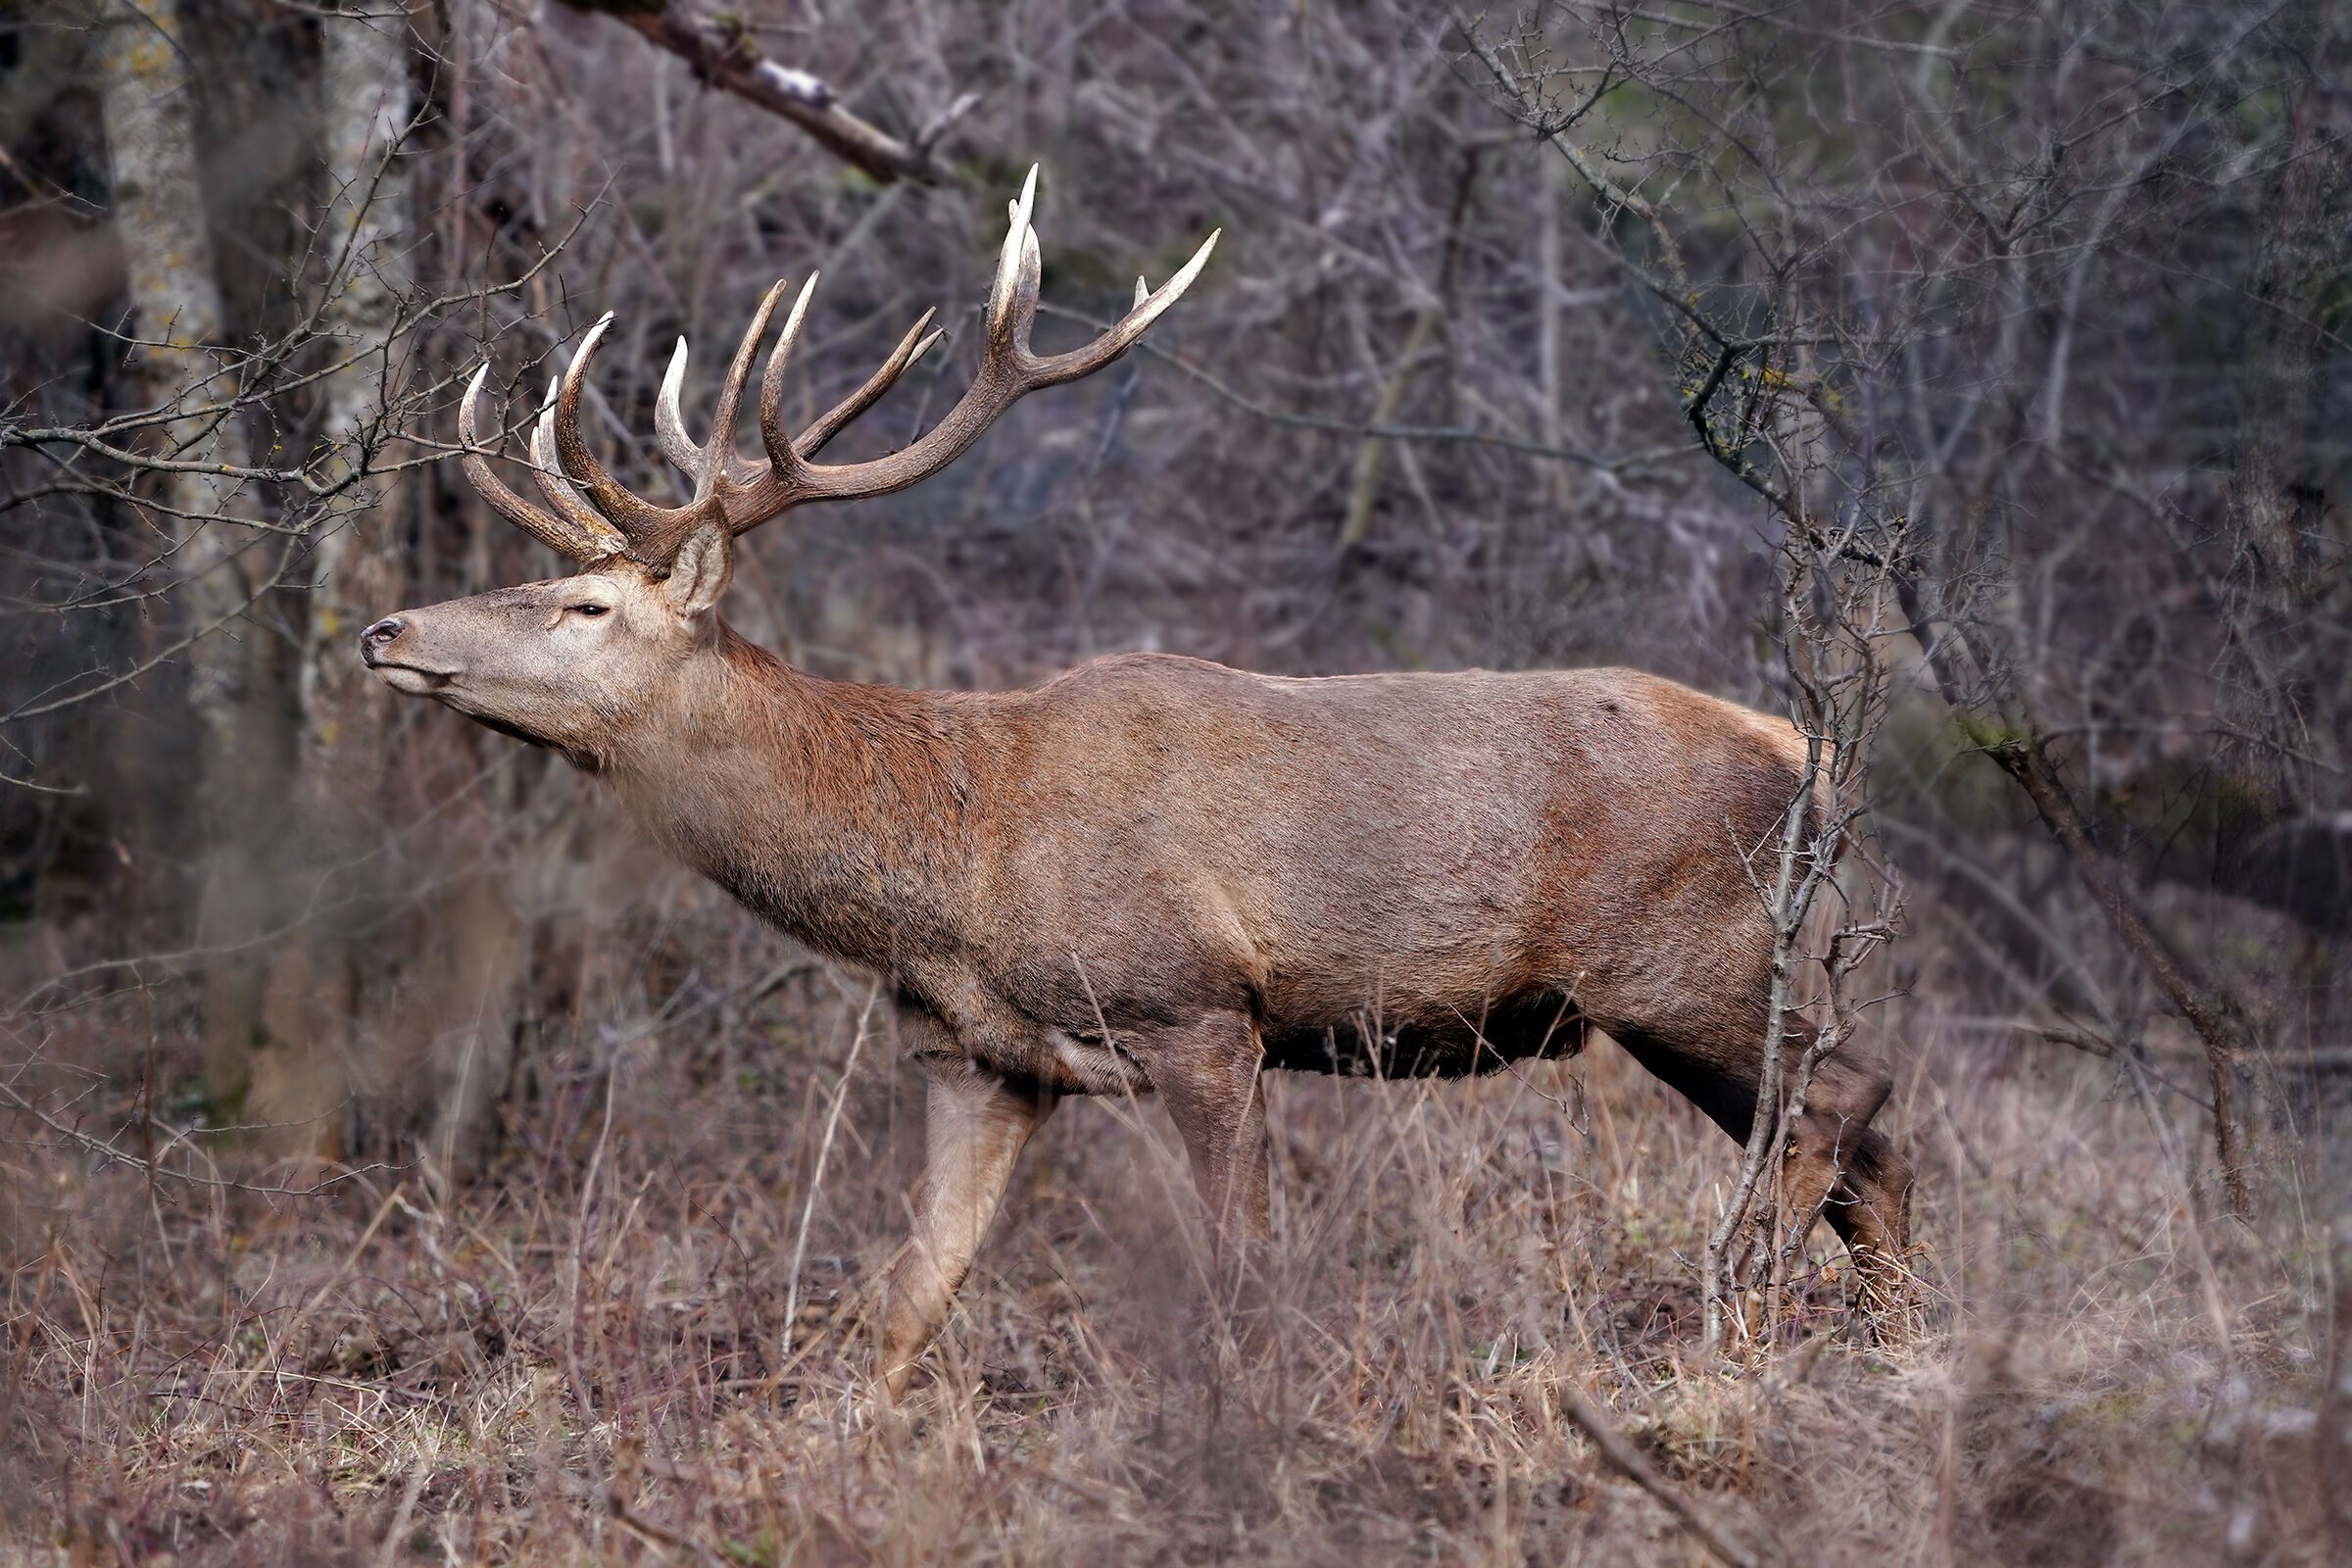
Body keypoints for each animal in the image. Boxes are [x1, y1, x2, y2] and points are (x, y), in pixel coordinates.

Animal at [361, 170, 1912, 1400]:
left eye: (586, 607)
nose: (385, 631)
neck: (955, 861)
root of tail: (1810, 754)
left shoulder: (1197, 1007)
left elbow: (1237, 1269)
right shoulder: (978, 1054)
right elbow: (910, 1295)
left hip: (1692, 961)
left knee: (1845, 1101)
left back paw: (1743, 1312)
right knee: (1867, 1144)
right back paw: (1895, 1345)